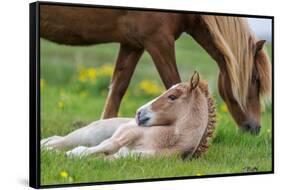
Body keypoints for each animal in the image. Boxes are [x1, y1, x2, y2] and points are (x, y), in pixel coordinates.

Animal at [40, 4, 270, 135]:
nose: (255, 128)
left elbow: (117, 89)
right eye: (256, 79)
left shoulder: (132, 45)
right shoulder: (159, 42)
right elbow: (174, 82)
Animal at [40, 72, 215, 159]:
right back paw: (47, 148)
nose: (139, 113)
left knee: (56, 139)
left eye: (172, 96)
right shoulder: (125, 134)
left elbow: (108, 156)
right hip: (88, 134)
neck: (167, 140)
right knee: (60, 141)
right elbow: (109, 145)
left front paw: (69, 155)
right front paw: (71, 154)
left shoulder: (132, 157)